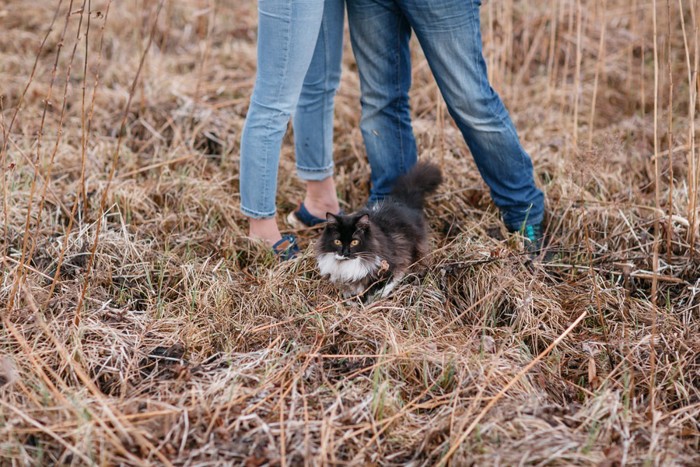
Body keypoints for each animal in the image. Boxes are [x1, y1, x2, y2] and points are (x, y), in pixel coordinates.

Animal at [318, 161, 442, 300]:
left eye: (354, 242)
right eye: (337, 242)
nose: (345, 252)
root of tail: (402, 202)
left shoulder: (393, 266)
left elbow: (383, 286)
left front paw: (372, 299)